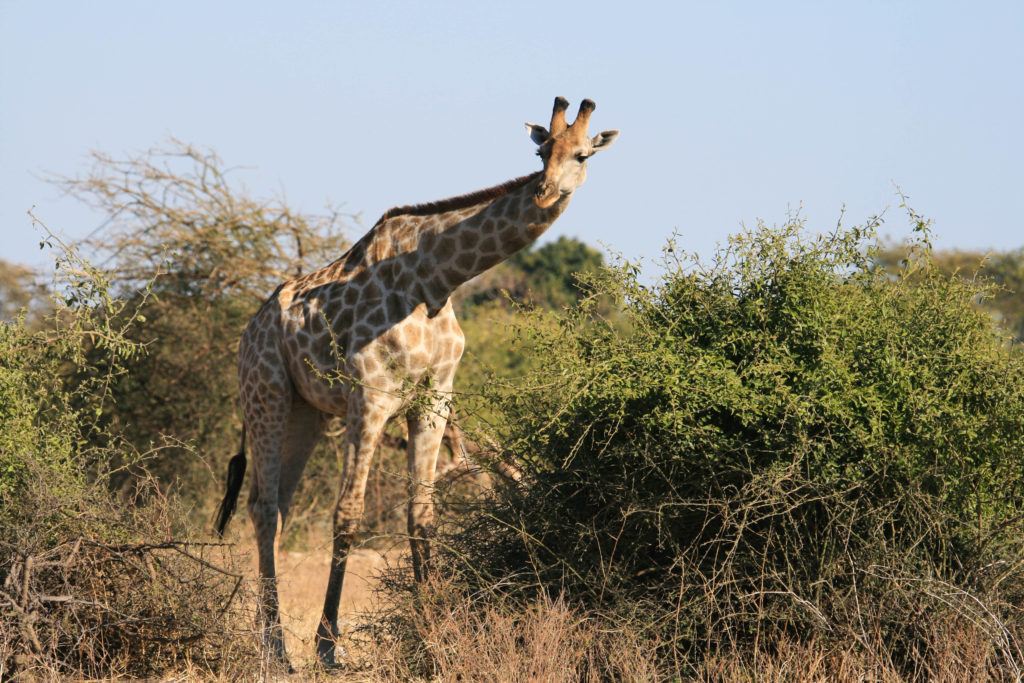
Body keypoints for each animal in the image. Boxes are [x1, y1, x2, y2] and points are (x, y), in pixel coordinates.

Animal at [214, 96, 617, 668]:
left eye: (583, 155)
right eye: (541, 152)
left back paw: (270, 643)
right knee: (265, 506)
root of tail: (249, 331)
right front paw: (328, 647)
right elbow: (349, 513)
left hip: (304, 412)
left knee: (275, 504)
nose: (543, 191)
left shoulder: (433, 398)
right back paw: (276, 650)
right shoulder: (371, 396)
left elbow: (422, 515)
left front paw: (434, 633)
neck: (436, 277)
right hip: (264, 393)